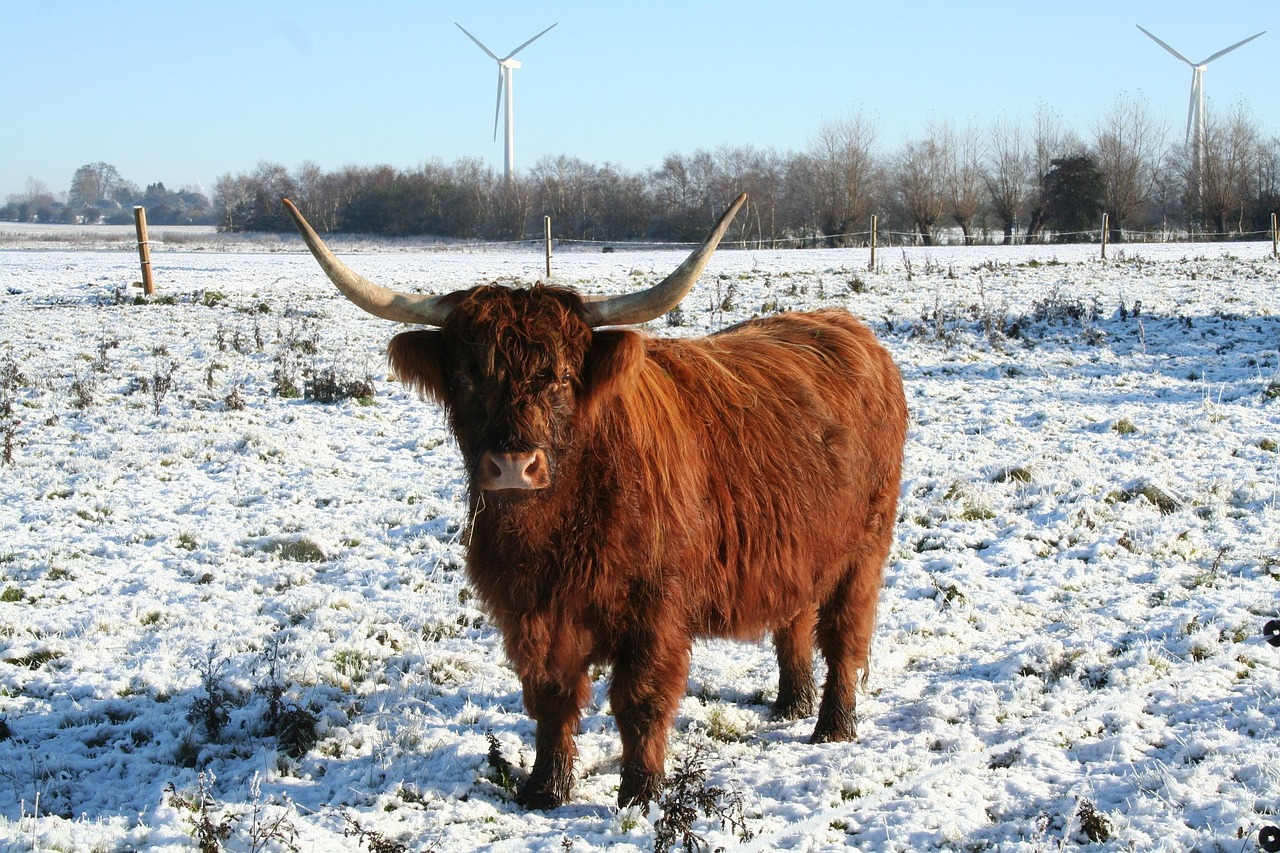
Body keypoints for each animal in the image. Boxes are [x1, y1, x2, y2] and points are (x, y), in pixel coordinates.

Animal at [282, 193, 907, 810]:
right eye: (467, 378)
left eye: (561, 376)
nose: (513, 466)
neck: (554, 532)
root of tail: (848, 327)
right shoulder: (529, 609)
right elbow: (551, 695)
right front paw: (544, 787)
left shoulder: (656, 608)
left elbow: (640, 700)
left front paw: (640, 794)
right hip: (800, 545)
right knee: (795, 618)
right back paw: (790, 704)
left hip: (864, 550)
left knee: (845, 634)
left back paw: (832, 726)